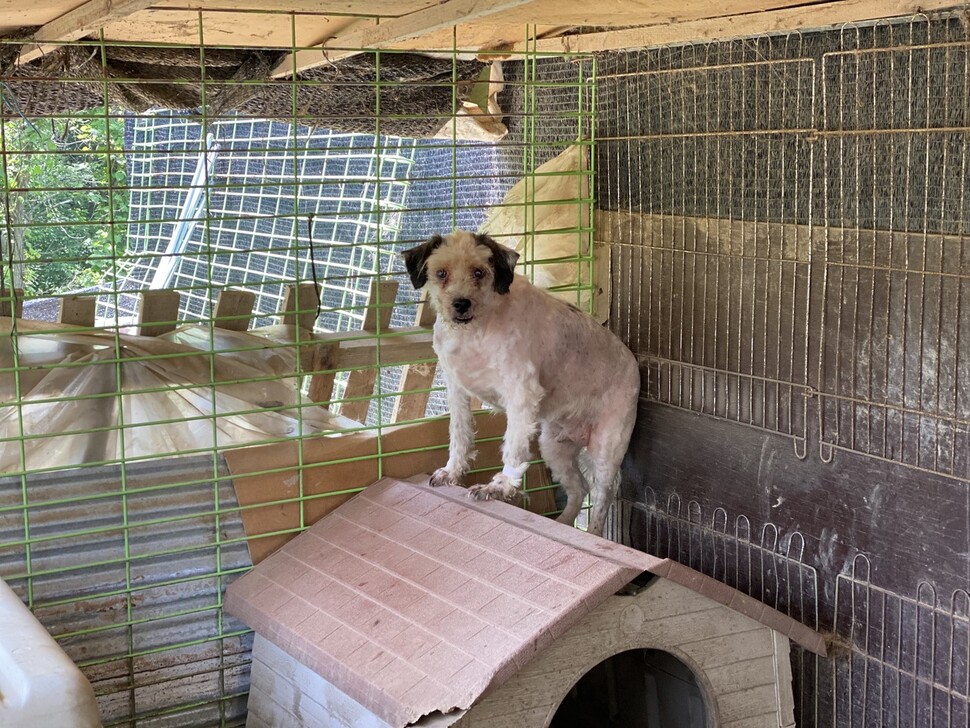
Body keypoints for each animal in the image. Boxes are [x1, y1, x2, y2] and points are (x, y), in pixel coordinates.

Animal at [398, 230, 640, 536]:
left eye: (479, 272)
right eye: (441, 273)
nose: (461, 304)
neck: (475, 330)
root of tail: (632, 363)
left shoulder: (521, 396)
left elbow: (512, 448)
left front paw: (498, 487)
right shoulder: (457, 390)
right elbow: (459, 435)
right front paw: (452, 472)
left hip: (606, 448)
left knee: (602, 496)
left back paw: (594, 534)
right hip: (553, 446)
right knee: (579, 488)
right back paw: (562, 524)